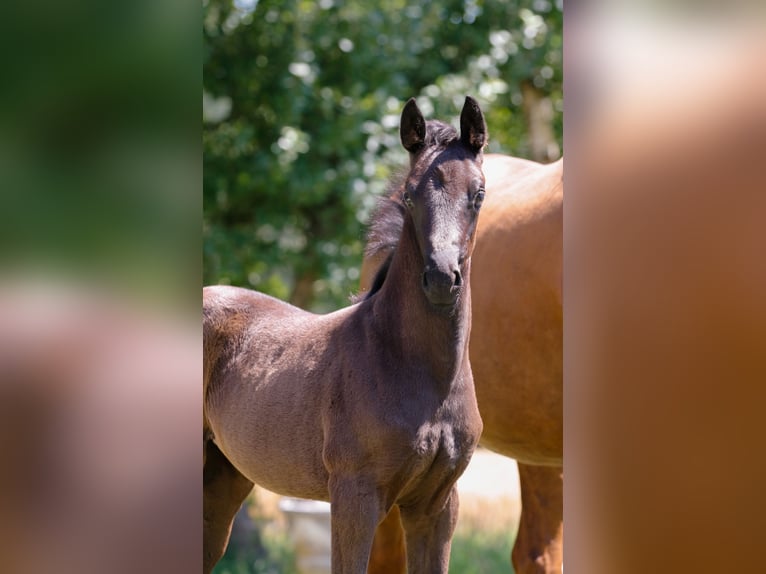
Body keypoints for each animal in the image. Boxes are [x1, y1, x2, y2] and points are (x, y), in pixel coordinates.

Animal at [203, 96, 488, 574]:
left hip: (222, 476)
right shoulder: (355, 496)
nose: (440, 278)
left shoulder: (436, 505)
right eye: (409, 194)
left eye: (479, 193)